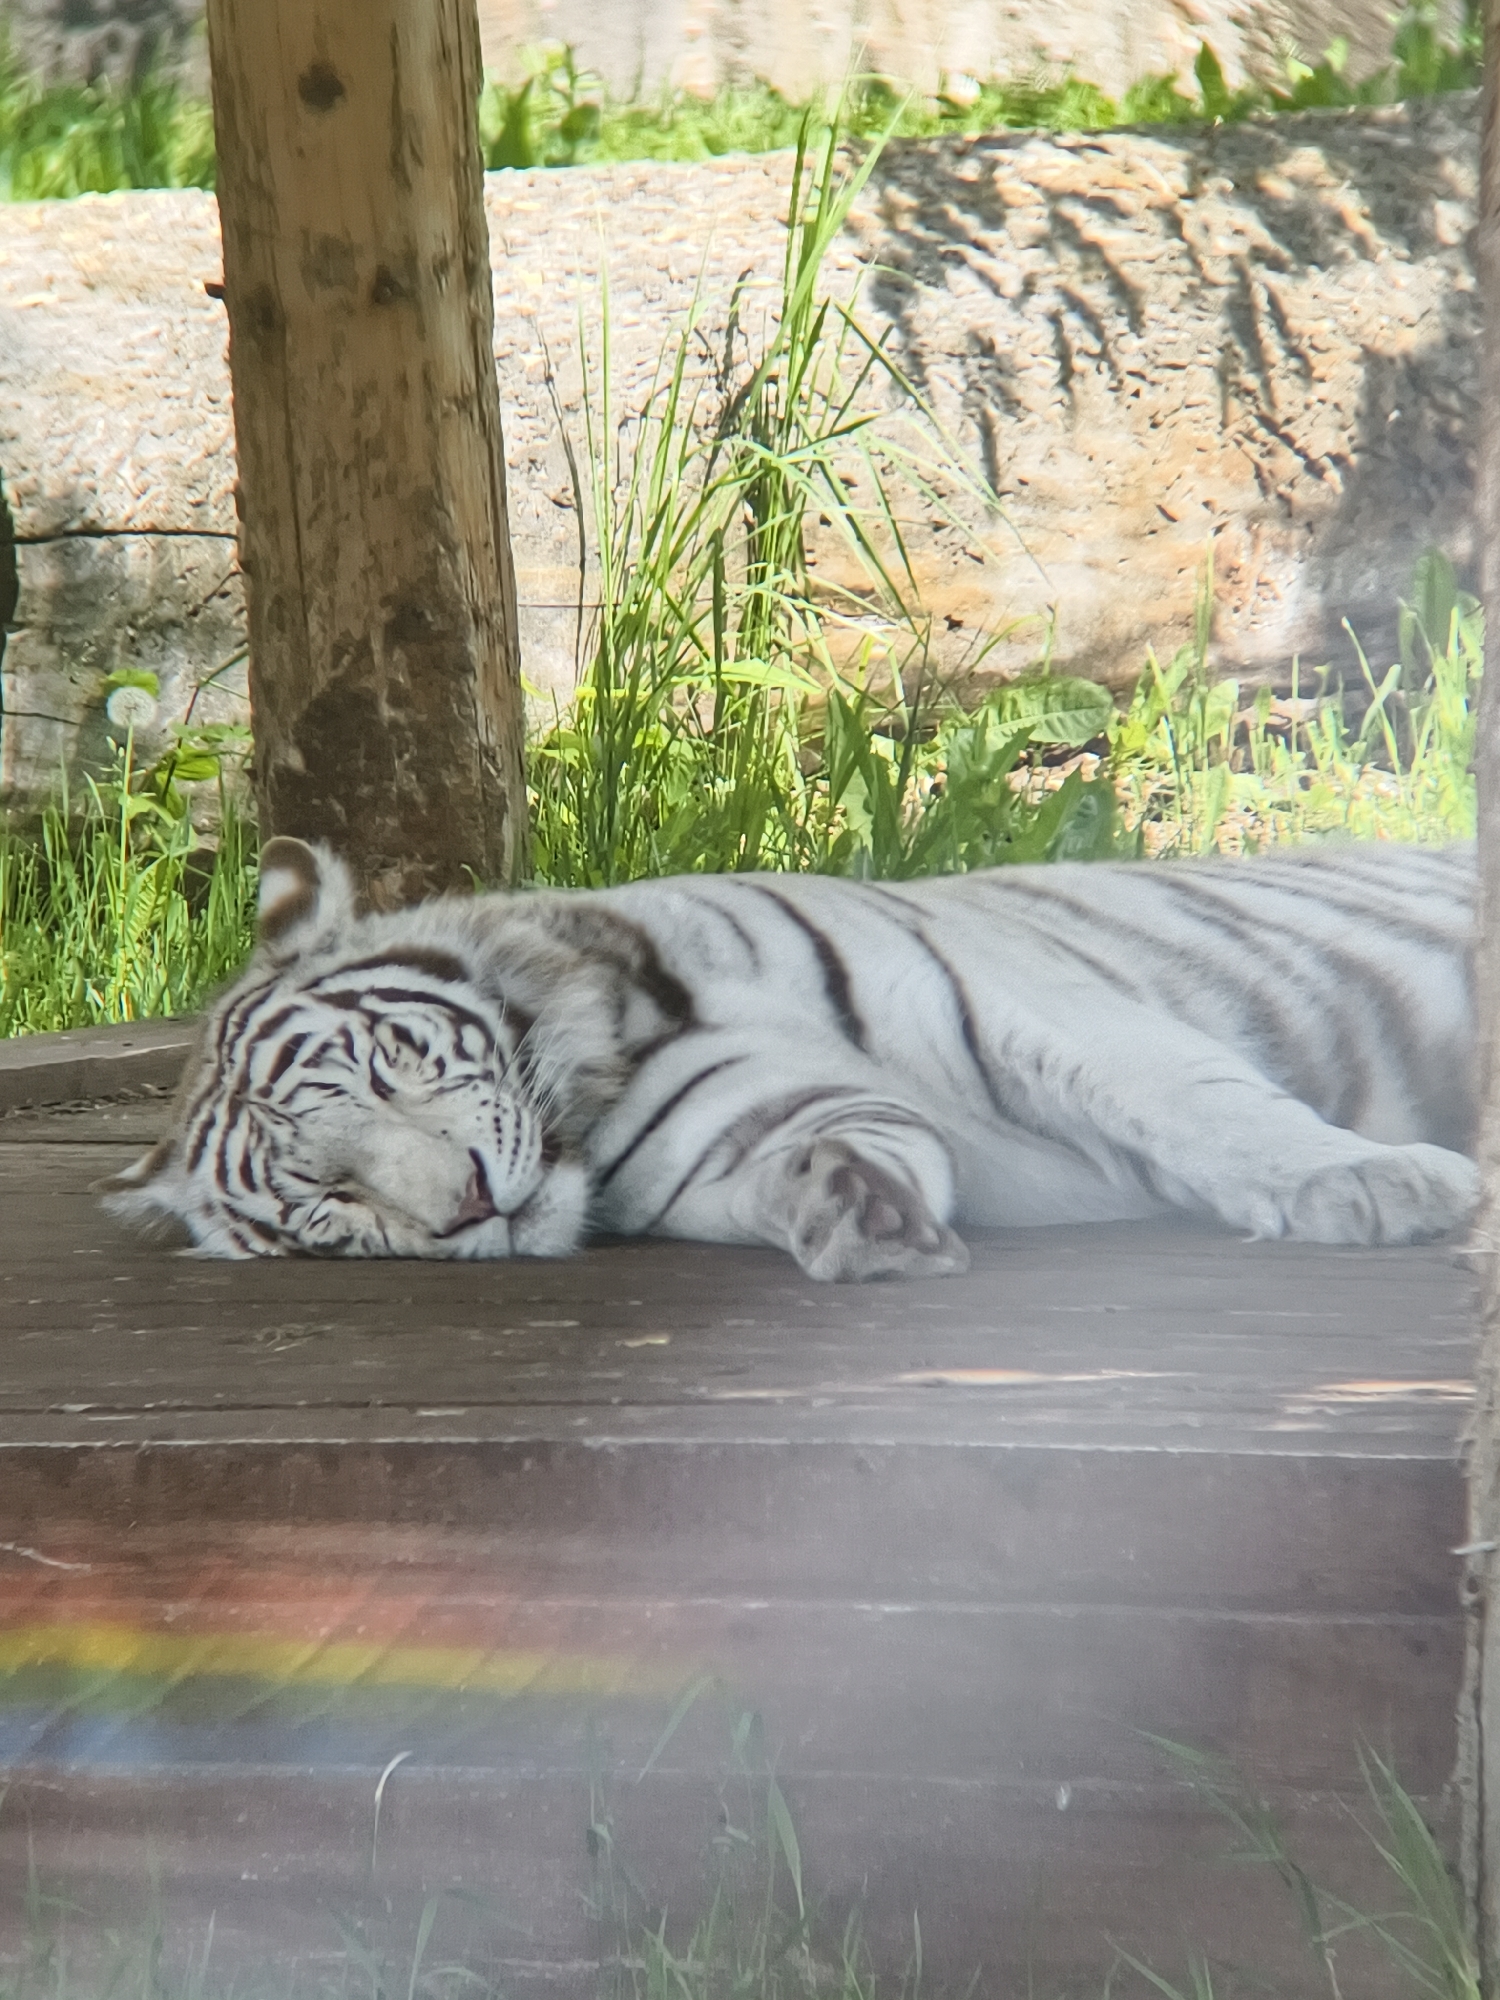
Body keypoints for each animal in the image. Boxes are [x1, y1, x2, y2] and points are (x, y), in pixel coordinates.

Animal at [103, 835, 1479, 1278]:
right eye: (327, 1201)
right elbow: (827, 1148)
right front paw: (850, 1208)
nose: (470, 1207)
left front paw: (1374, 1185)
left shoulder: (1031, 1004)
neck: (619, 1045)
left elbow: (1203, 1107)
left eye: (392, 1064)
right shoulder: (745, 1123)